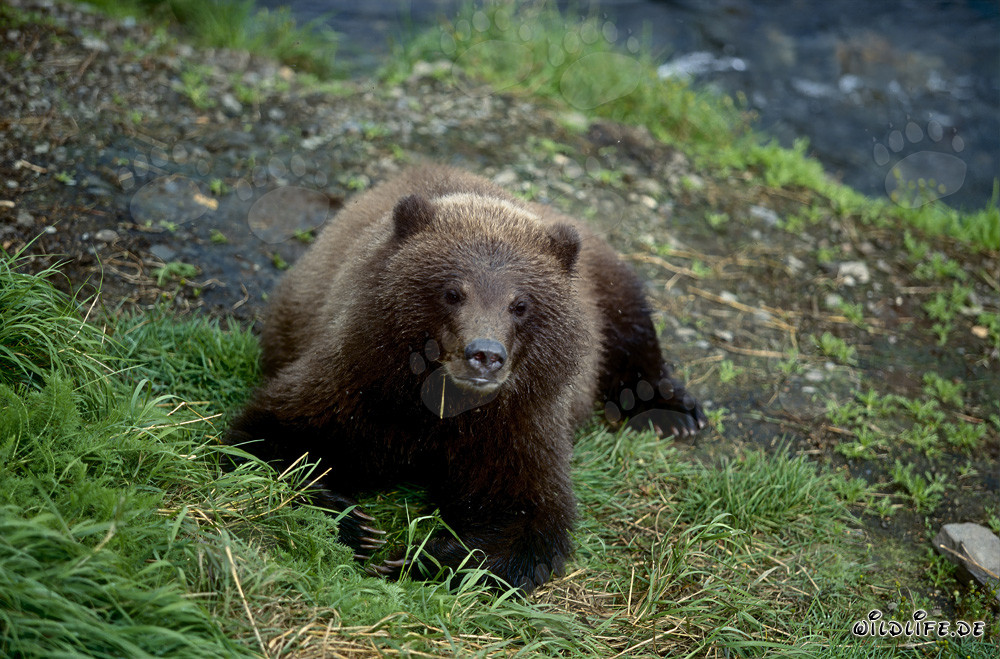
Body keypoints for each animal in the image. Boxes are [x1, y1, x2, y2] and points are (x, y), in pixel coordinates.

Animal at [227, 164, 706, 593]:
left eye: (520, 303)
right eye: (453, 291)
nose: (485, 355)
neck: (442, 408)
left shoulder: (517, 426)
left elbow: (528, 519)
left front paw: (419, 558)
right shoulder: (356, 385)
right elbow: (269, 438)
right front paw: (358, 526)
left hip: (605, 284)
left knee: (633, 325)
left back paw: (668, 410)